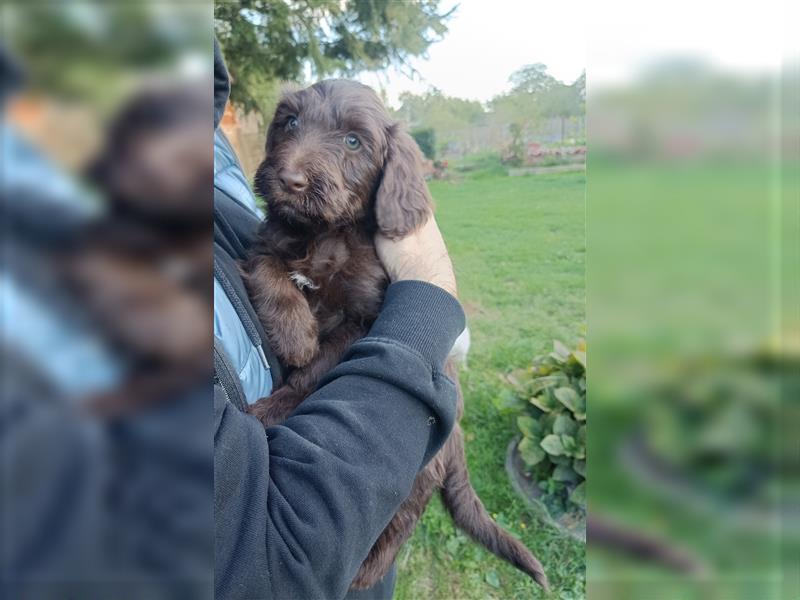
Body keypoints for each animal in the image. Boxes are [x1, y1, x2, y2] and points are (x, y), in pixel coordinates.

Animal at [241, 78, 548, 592]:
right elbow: (270, 273)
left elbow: (320, 367)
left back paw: (364, 574)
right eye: (290, 123)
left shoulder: (364, 318)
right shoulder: (268, 241)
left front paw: (278, 402)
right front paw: (296, 334)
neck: (326, 232)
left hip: (417, 480)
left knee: (399, 525)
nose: (289, 180)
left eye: (353, 141)